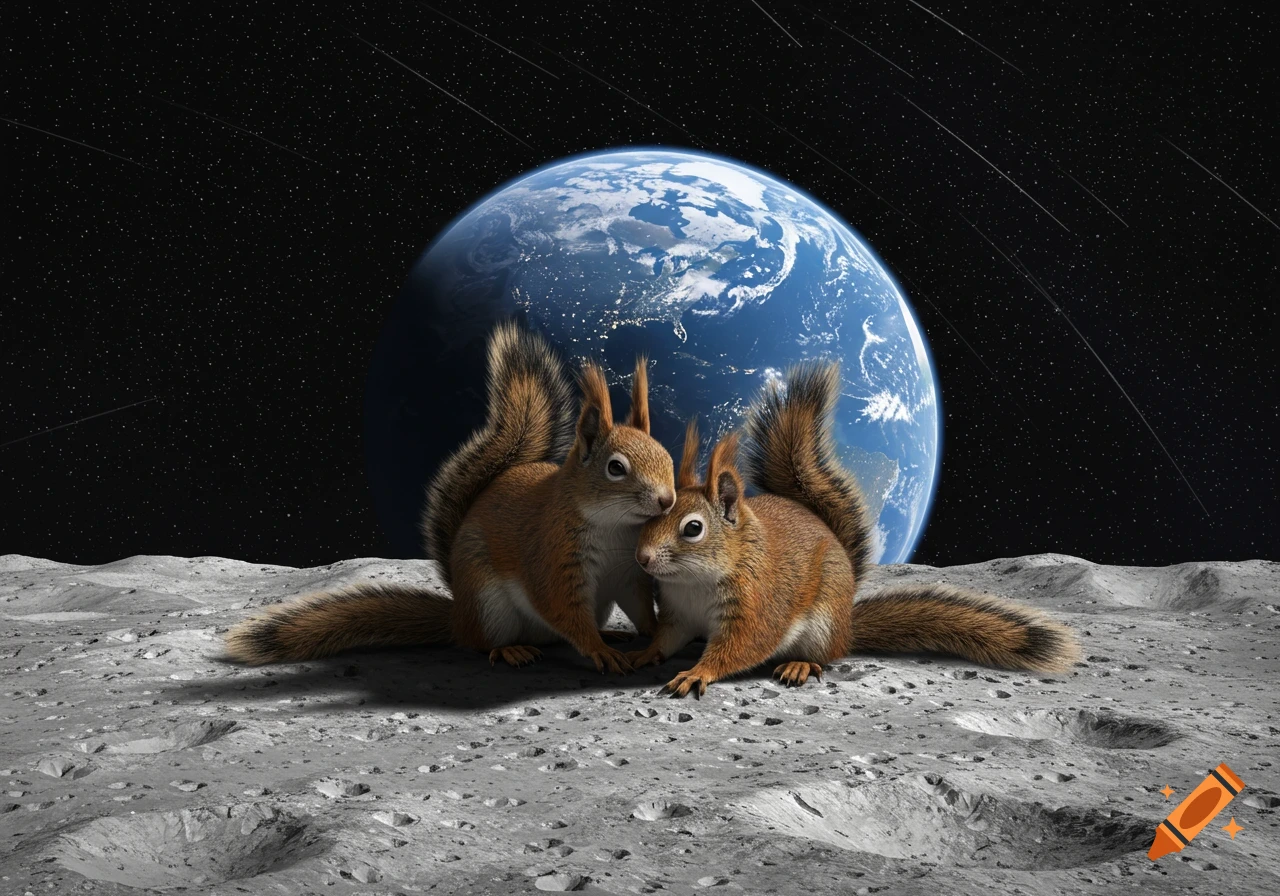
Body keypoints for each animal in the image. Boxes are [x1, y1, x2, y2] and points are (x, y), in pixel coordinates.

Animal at [224, 320, 676, 674]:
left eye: (668, 455)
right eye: (615, 468)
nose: (667, 501)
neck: (614, 527)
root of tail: (457, 616)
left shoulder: (627, 573)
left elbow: (640, 608)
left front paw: (657, 636)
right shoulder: (552, 558)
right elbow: (561, 608)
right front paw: (599, 652)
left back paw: (603, 632)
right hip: (488, 605)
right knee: (483, 644)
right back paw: (511, 650)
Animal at [627, 360, 1081, 697]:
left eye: (693, 528)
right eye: (651, 515)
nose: (642, 558)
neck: (695, 582)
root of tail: (848, 623)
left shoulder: (757, 606)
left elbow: (741, 647)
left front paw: (696, 673)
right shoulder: (678, 613)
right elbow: (667, 639)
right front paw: (642, 655)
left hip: (823, 620)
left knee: (826, 656)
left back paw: (799, 664)